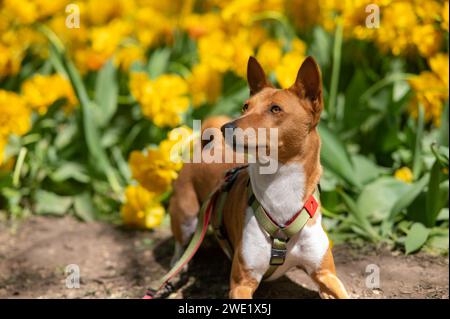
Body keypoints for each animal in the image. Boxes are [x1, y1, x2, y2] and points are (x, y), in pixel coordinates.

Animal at [171, 55, 350, 300]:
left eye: (275, 109)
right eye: (245, 107)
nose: (226, 127)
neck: (281, 191)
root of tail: (208, 146)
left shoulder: (325, 273)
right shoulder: (242, 282)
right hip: (186, 216)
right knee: (181, 246)